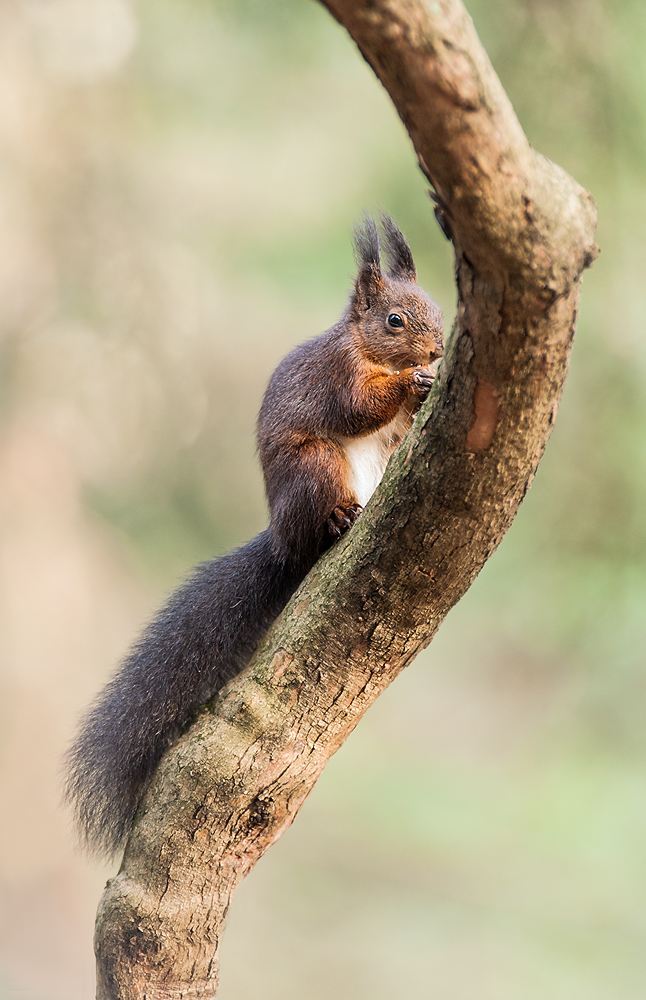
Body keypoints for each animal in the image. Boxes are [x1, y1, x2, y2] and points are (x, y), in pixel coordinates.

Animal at [64, 215, 446, 856]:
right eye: (395, 320)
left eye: (439, 308)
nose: (440, 348)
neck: (367, 347)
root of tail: (282, 542)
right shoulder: (336, 375)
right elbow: (357, 407)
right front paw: (411, 383)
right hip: (315, 467)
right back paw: (338, 522)